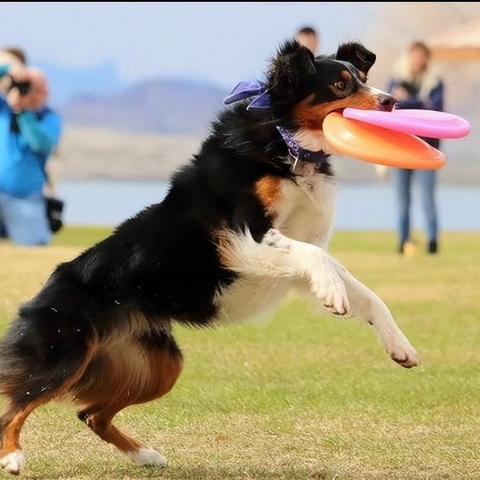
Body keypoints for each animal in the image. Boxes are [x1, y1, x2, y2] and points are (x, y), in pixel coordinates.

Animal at [0, 39, 420, 474]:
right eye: (340, 85)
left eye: (361, 78)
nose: (391, 102)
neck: (284, 141)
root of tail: (44, 290)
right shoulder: (246, 234)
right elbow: (317, 262)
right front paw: (332, 293)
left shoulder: (299, 247)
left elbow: (364, 292)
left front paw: (399, 346)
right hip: (63, 355)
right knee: (14, 409)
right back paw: (12, 456)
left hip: (160, 364)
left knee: (90, 413)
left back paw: (146, 455)